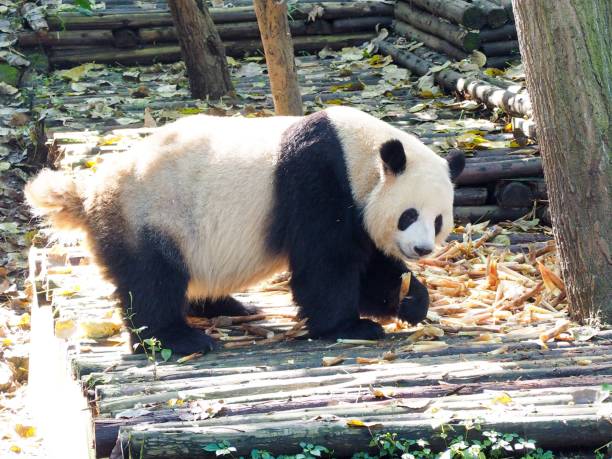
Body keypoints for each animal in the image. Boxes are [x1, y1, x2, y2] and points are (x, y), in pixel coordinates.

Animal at [25, 108, 464, 356]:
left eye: (438, 220)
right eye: (408, 215)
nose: (422, 249)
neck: (360, 153)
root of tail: (89, 196)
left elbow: (370, 266)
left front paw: (412, 301)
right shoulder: (318, 181)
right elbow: (326, 264)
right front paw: (351, 327)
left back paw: (231, 307)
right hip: (151, 215)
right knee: (151, 280)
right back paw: (179, 339)